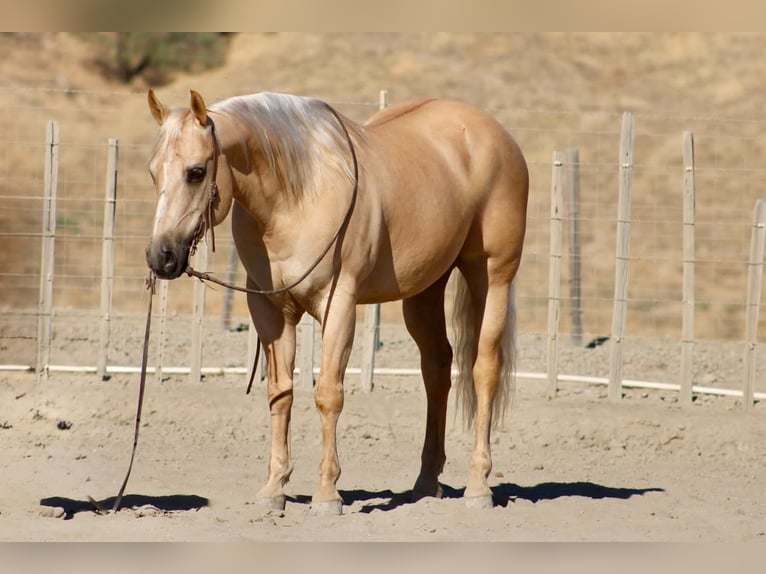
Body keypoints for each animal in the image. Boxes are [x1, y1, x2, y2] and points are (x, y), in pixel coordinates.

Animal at [144, 88, 529, 514]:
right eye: (153, 171)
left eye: (196, 172)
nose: (161, 256)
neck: (298, 196)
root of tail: (495, 134)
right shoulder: (271, 311)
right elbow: (280, 394)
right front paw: (274, 488)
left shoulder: (339, 304)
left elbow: (328, 394)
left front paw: (327, 494)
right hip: (425, 290)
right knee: (437, 369)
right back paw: (427, 483)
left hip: (492, 275)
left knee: (484, 369)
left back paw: (478, 486)